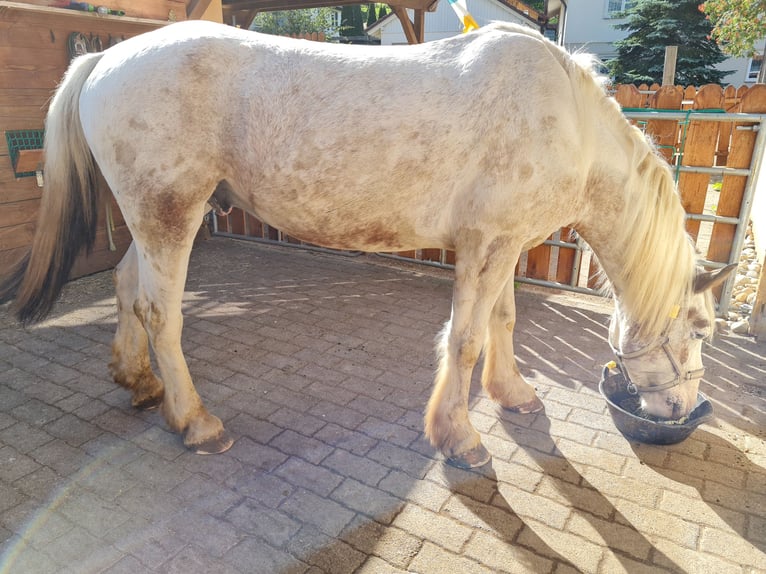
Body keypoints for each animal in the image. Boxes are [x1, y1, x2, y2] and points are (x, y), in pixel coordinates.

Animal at [0, 22, 732, 470]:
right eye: (697, 333)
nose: (679, 411)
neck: (567, 120)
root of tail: (104, 58)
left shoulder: (506, 242)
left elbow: (503, 320)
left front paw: (512, 393)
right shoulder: (487, 244)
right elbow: (467, 339)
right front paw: (460, 438)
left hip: (155, 221)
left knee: (127, 288)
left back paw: (139, 382)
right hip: (169, 218)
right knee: (161, 314)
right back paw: (196, 421)